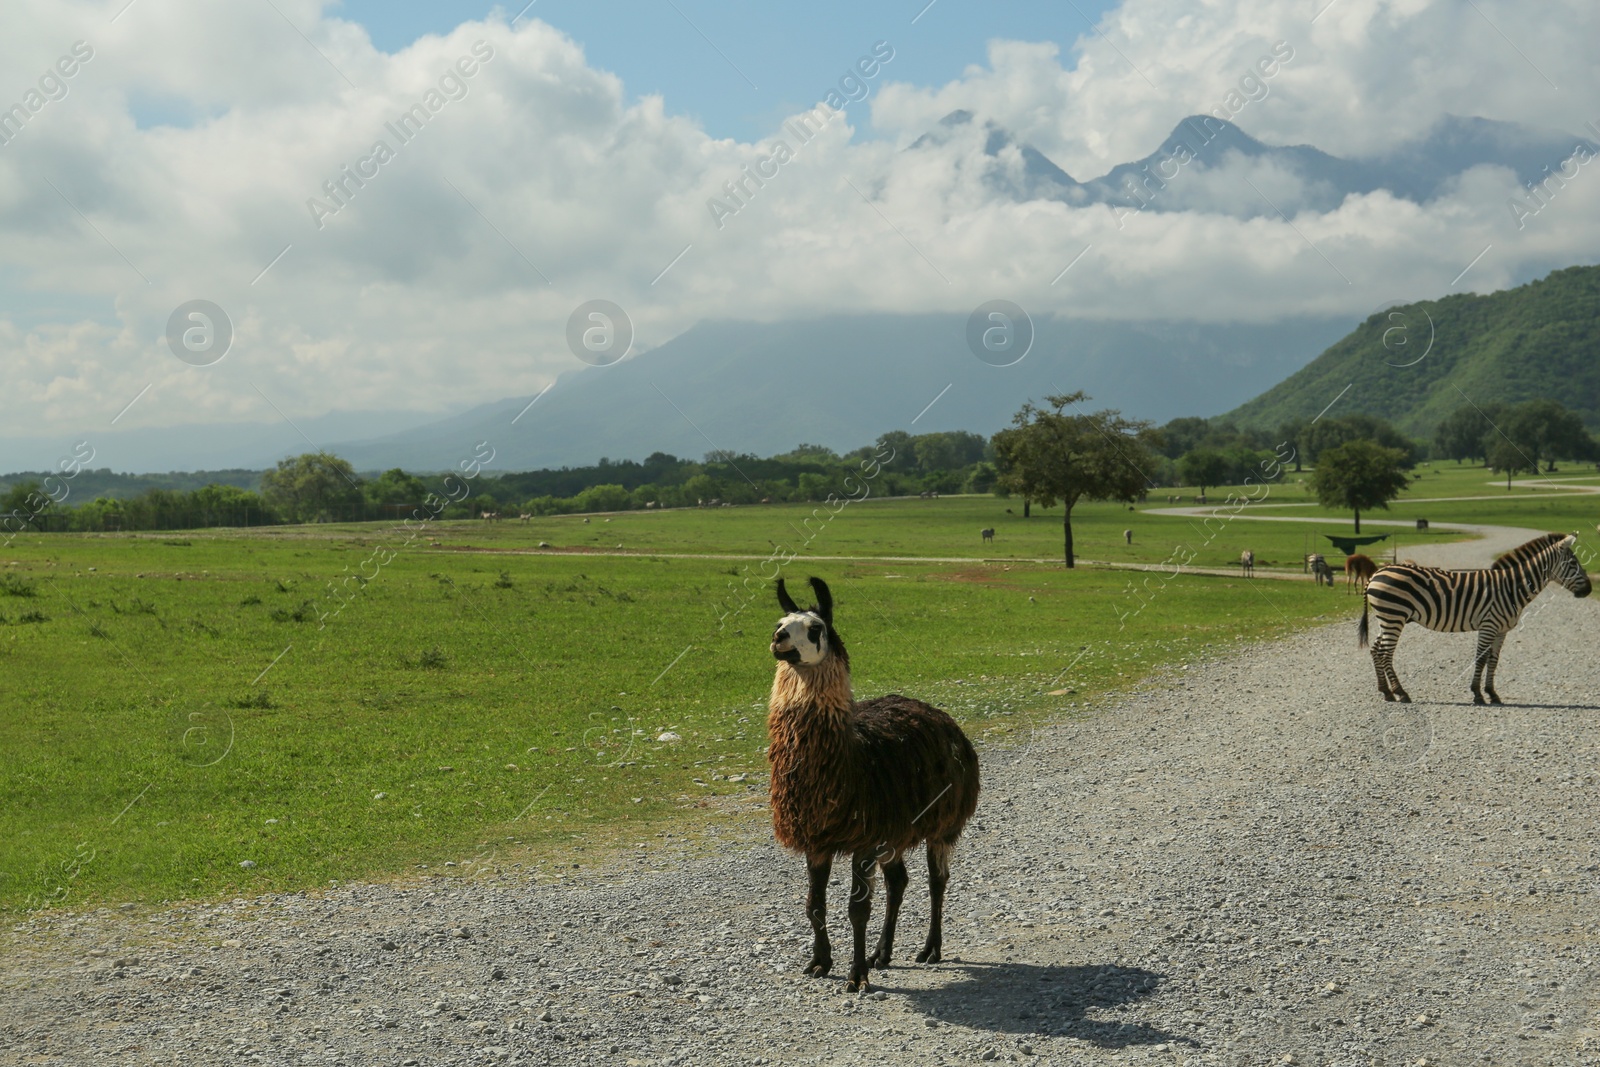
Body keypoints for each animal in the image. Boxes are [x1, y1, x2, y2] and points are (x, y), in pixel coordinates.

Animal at [1363, 531, 1587, 703]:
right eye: (1573, 563)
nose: (1589, 590)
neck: (1511, 587)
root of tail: (1377, 573)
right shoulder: (1489, 625)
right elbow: (1481, 658)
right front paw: (1478, 694)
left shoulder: (1501, 630)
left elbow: (1493, 660)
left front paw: (1492, 694)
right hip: (1394, 616)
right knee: (1386, 653)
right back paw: (1401, 693)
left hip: (1388, 618)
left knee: (1376, 650)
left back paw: (1386, 692)